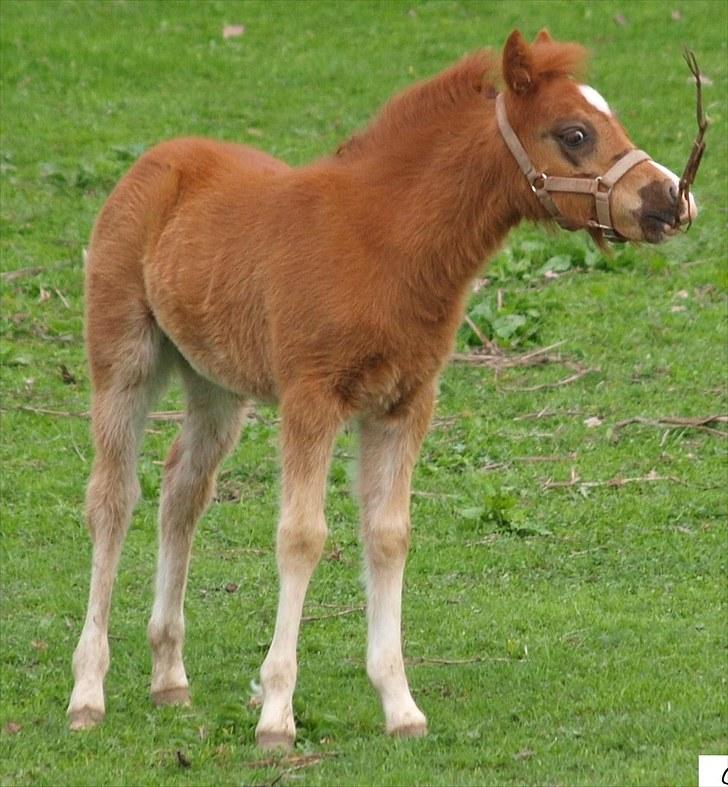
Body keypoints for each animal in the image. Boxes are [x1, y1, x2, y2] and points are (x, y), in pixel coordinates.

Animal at [69, 27, 700, 748]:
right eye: (574, 133)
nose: (671, 200)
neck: (386, 241)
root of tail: (155, 158)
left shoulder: (406, 404)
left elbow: (389, 533)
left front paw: (400, 706)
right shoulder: (311, 397)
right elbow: (302, 535)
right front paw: (276, 716)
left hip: (214, 382)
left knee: (183, 491)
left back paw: (169, 676)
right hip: (124, 357)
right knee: (114, 497)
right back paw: (87, 692)